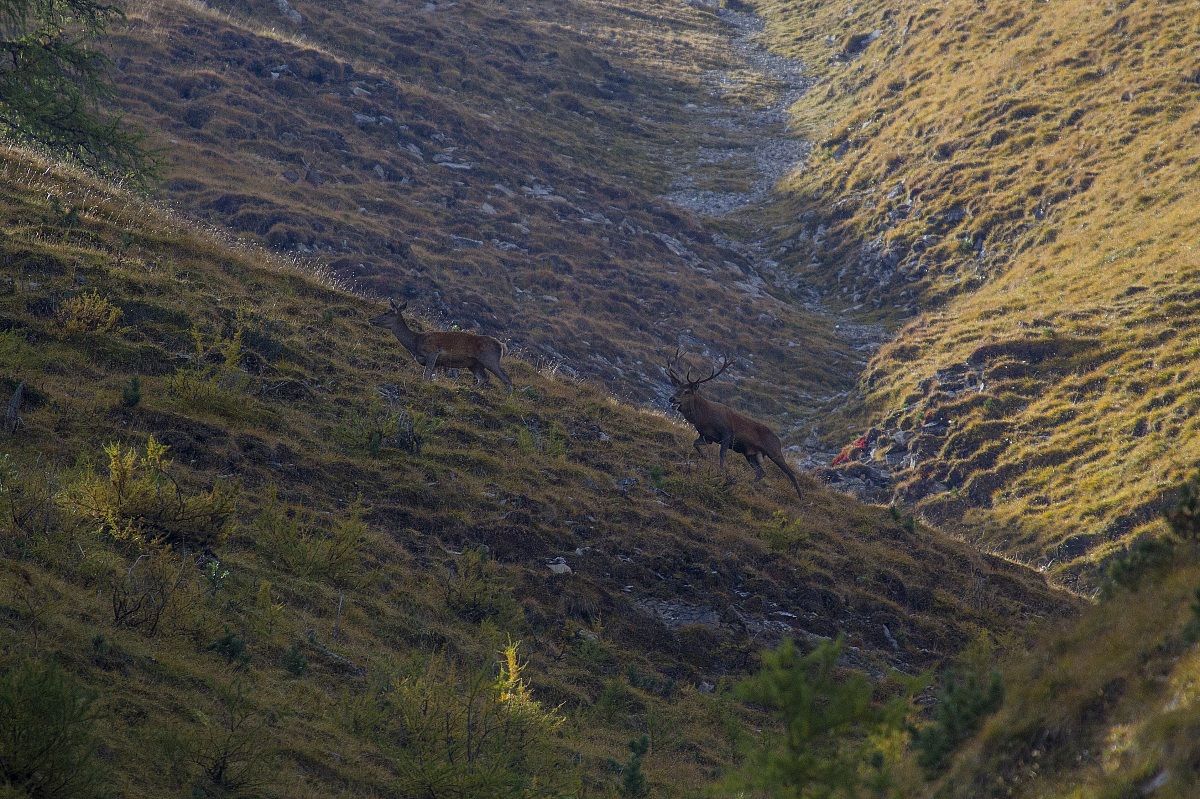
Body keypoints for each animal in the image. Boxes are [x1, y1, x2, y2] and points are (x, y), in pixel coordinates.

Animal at [369, 299, 513, 390]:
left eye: (386, 312)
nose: (371, 319)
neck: (415, 343)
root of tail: (502, 345)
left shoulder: (433, 352)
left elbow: (426, 375)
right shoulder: (438, 363)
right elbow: (433, 377)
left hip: (490, 359)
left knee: (506, 378)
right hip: (475, 364)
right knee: (483, 378)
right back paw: (471, 389)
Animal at [665, 350, 803, 498]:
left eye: (687, 391)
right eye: (677, 387)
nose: (671, 398)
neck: (704, 418)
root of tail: (779, 440)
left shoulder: (727, 434)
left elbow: (722, 455)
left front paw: (720, 472)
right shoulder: (707, 437)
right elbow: (695, 444)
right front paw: (705, 457)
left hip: (774, 451)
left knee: (790, 473)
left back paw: (801, 497)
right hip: (750, 454)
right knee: (761, 472)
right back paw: (748, 484)